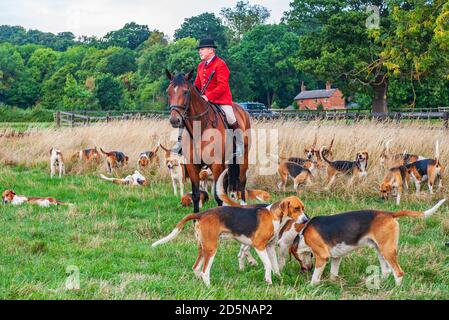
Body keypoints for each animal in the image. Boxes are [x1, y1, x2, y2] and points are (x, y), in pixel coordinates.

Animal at [164, 71, 250, 214]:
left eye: (186, 92)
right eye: (168, 92)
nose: (174, 120)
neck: (199, 129)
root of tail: (242, 110)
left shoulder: (216, 164)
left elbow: (217, 196)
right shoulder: (192, 166)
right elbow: (196, 194)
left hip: (243, 156)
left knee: (242, 179)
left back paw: (243, 204)